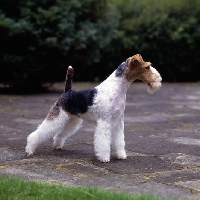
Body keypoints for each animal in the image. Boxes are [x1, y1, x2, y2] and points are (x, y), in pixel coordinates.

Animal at [25, 53, 162, 162]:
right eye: (147, 67)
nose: (160, 79)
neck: (117, 89)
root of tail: (67, 91)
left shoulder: (118, 121)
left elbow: (119, 140)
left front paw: (121, 155)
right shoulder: (105, 122)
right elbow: (103, 141)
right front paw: (104, 158)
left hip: (72, 120)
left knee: (59, 134)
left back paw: (57, 145)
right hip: (58, 116)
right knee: (38, 133)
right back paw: (29, 150)